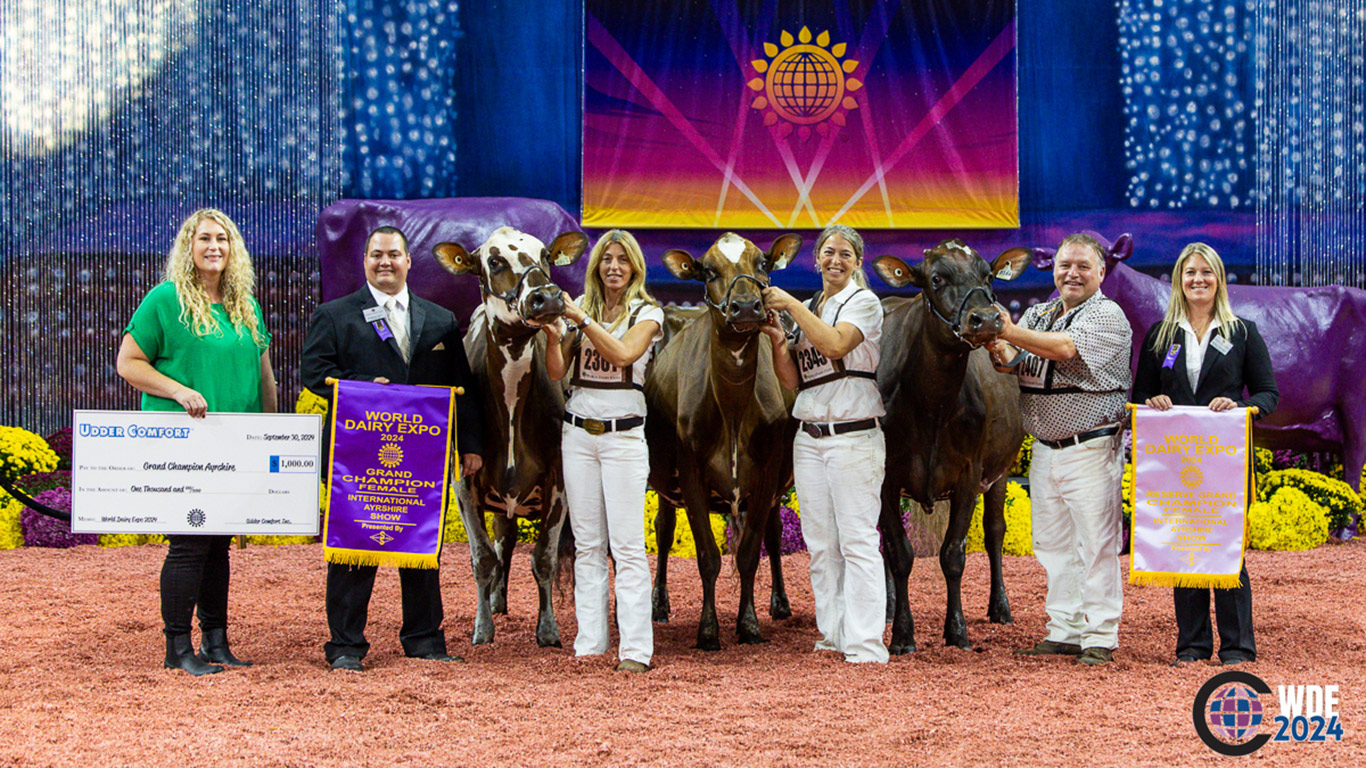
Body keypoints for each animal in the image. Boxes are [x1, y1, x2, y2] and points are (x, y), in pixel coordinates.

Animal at [434, 224, 590, 642]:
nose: (546, 296)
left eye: (547, 256)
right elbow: (483, 558)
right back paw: (496, 602)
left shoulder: (559, 480)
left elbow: (544, 558)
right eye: (494, 261)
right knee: (503, 541)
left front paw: (548, 629)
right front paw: (482, 628)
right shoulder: (463, 480)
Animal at [647, 232, 803, 645]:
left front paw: (748, 623)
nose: (746, 305)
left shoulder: (768, 473)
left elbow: (750, 553)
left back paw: (780, 604)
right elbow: (707, 557)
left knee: (774, 533)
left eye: (762, 263)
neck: (733, 408)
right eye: (708, 271)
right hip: (661, 483)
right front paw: (708, 630)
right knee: (663, 531)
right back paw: (658, 604)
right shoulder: (690, 473)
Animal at [868, 239, 1027, 650]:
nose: (985, 319)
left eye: (989, 276)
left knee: (995, 531)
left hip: (1001, 471)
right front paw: (903, 633)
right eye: (936, 278)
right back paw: (887, 609)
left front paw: (956, 630)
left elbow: (953, 554)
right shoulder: (885, 478)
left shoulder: (969, 474)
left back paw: (1000, 607)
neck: (933, 407)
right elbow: (900, 553)